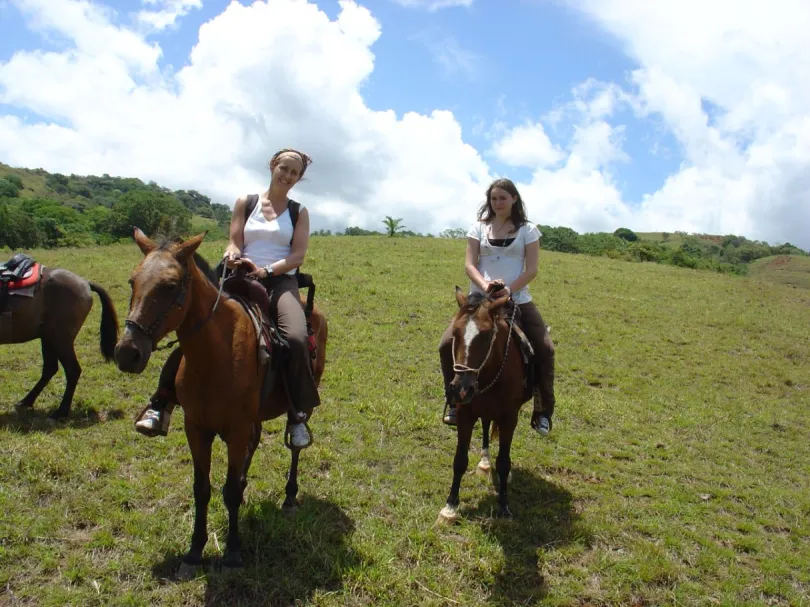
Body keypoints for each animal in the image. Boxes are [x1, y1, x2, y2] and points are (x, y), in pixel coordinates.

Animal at [0, 254, 119, 420]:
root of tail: (85, 283)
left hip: (60, 339)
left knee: (72, 370)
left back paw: (61, 411)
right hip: (48, 337)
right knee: (50, 369)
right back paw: (26, 401)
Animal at [113, 229, 328, 580]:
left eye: (170, 285)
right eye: (133, 281)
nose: (126, 353)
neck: (216, 354)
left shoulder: (236, 428)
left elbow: (229, 492)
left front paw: (233, 552)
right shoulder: (196, 428)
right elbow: (202, 488)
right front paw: (194, 552)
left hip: (302, 401)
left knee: (295, 445)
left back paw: (290, 496)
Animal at [432, 288, 528, 524]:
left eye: (485, 336)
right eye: (455, 333)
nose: (461, 389)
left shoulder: (509, 419)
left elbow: (504, 462)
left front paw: (503, 506)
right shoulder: (466, 415)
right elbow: (459, 460)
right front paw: (449, 508)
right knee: (485, 425)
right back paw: (484, 461)